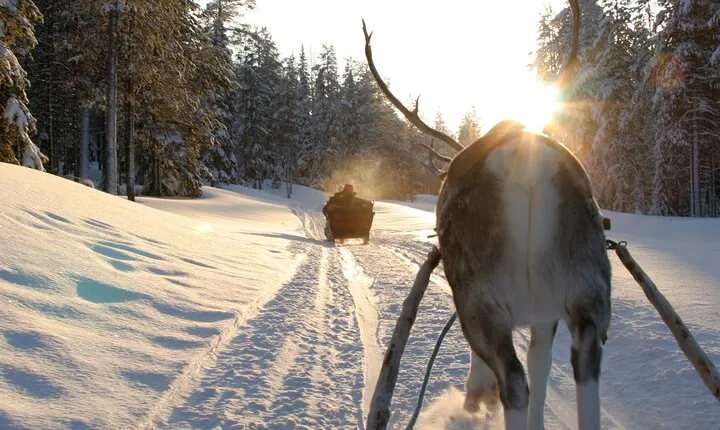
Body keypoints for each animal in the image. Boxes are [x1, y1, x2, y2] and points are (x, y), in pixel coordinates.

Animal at [363, 1, 611, 429]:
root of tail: (525, 168)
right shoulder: (546, 314)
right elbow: (542, 367)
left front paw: (477, 398)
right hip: (587, 287)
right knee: (583, 364)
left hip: (480, 297)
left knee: (513, 379)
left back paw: (480, 400)